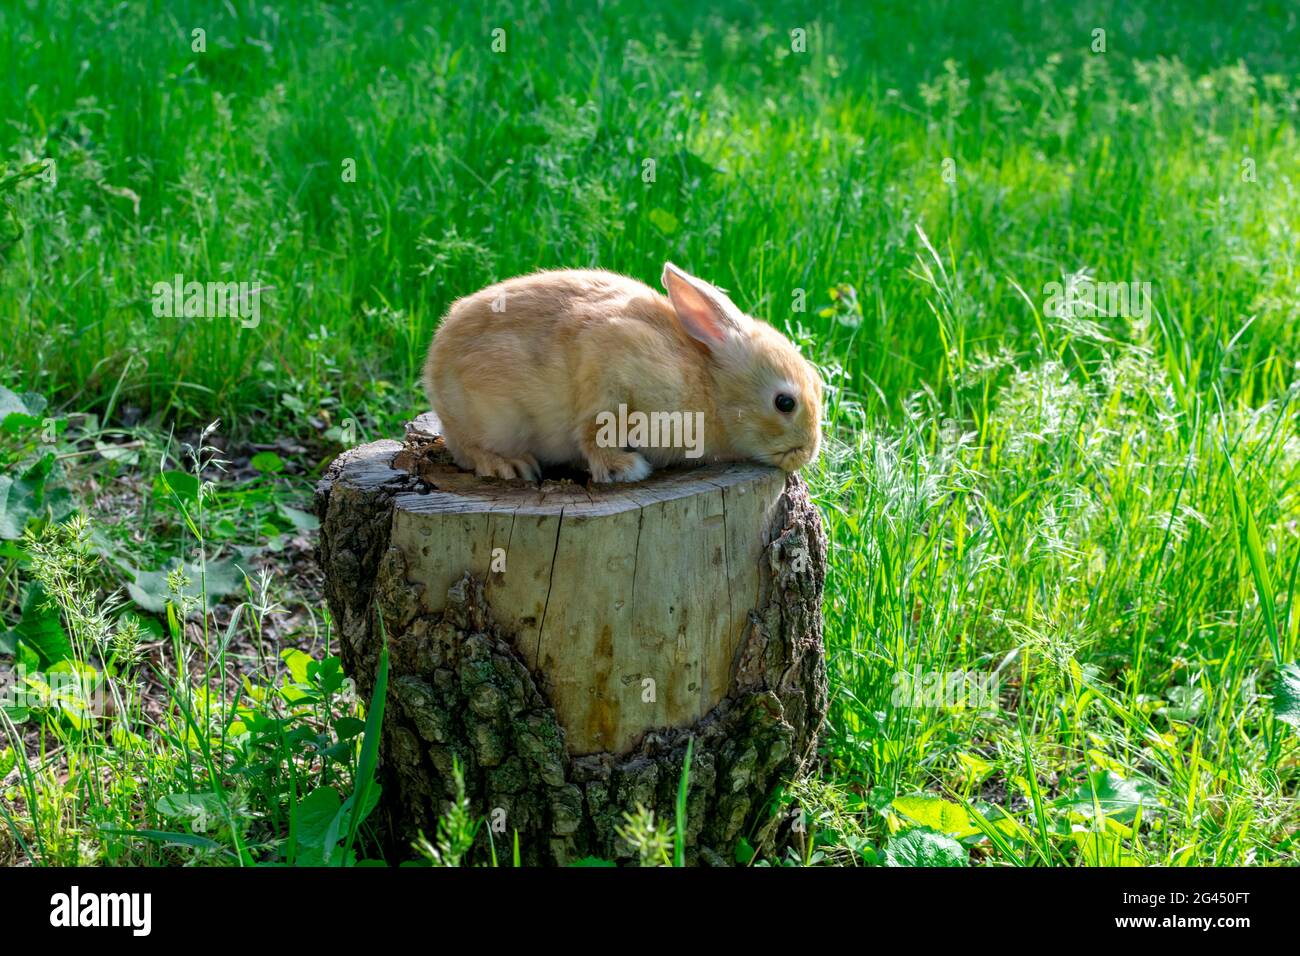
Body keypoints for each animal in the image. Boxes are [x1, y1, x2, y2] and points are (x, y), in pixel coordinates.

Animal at [421, 262, 822, 483]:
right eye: (785, 402)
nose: (806, 453)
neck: (711, 386)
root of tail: (433, 365)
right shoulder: (611, 362)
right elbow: (595, 430)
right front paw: (623, 468)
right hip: (492, 417)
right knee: (467, 449)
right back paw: (509, 465)